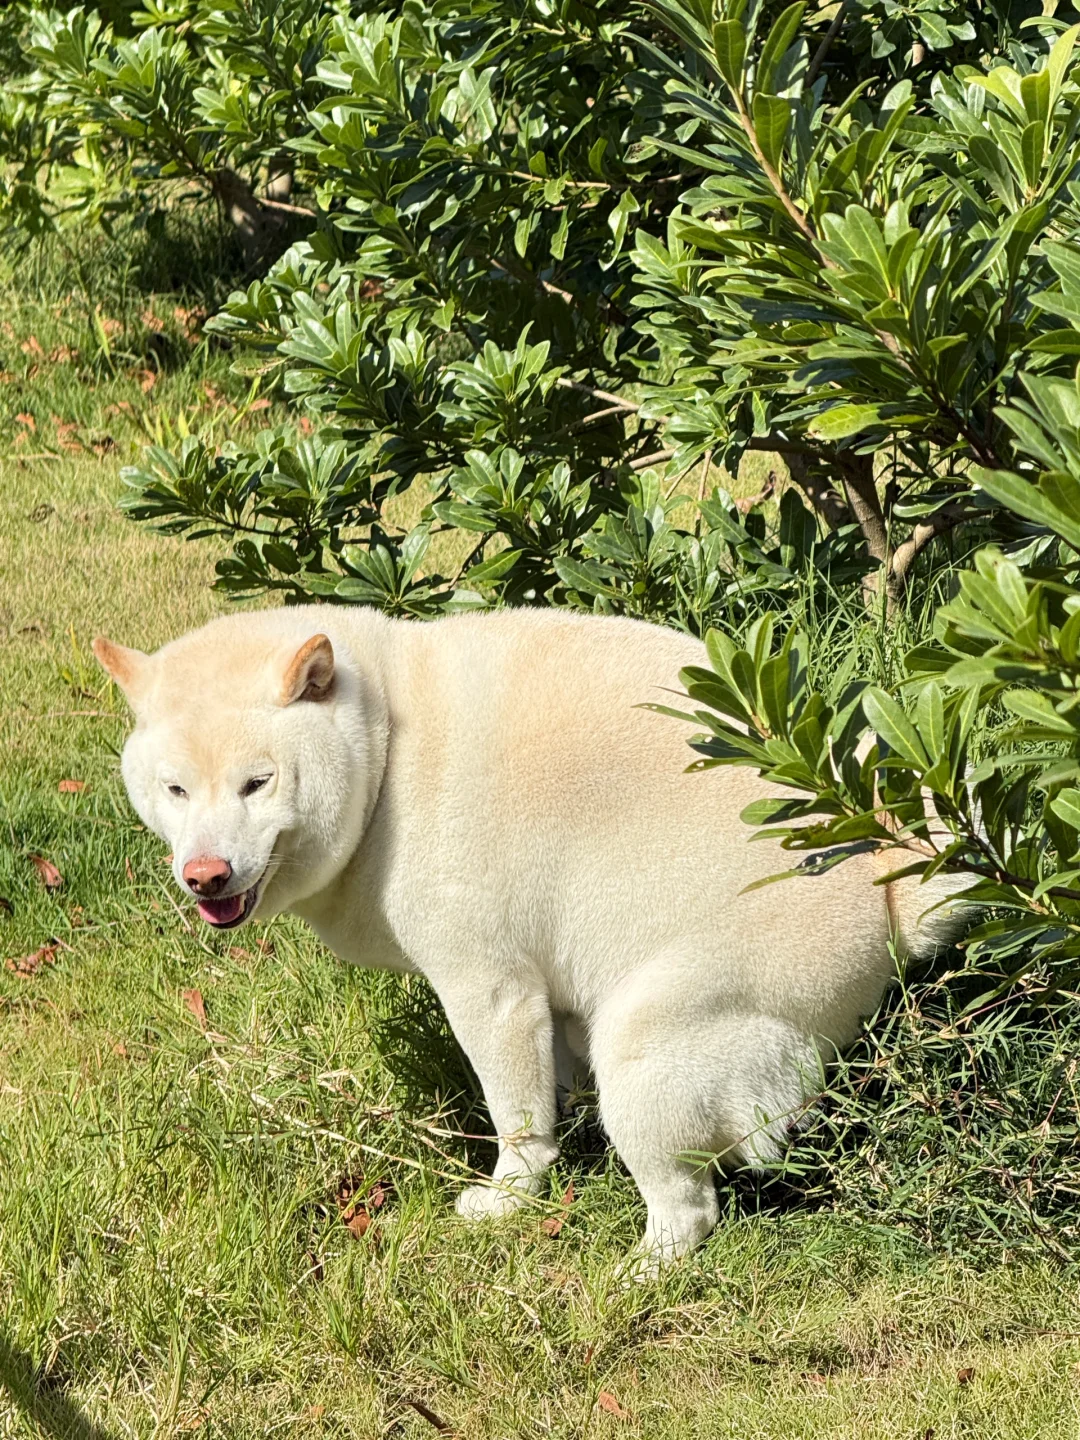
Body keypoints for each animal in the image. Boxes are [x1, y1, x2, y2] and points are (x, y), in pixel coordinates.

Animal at [97, 607, 967, 1272]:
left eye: (258, 783)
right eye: (175, 789)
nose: (204, 874)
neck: (387, 752)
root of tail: (885, 886)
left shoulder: (491, 989)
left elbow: (514, 1110)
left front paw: (513, 1195)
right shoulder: (555, 996)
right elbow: (559, 1087)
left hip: (653, 1045)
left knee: (689, 1210)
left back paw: (638, 1272)